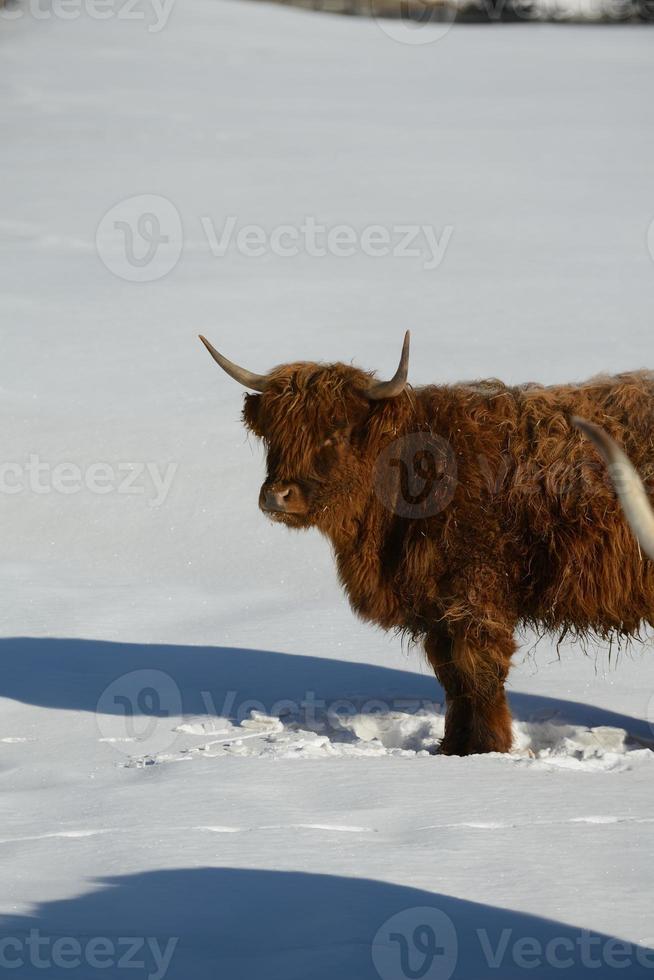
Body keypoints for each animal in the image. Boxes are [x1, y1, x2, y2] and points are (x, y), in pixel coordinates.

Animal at [201, 334, 654, 756]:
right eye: (275, 434)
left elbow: (478, 673)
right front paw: (452, 747)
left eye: (337, 430)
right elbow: (452, 678)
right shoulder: (436, 607)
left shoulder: (473, 595)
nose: (278, 496)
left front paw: (486, 747)